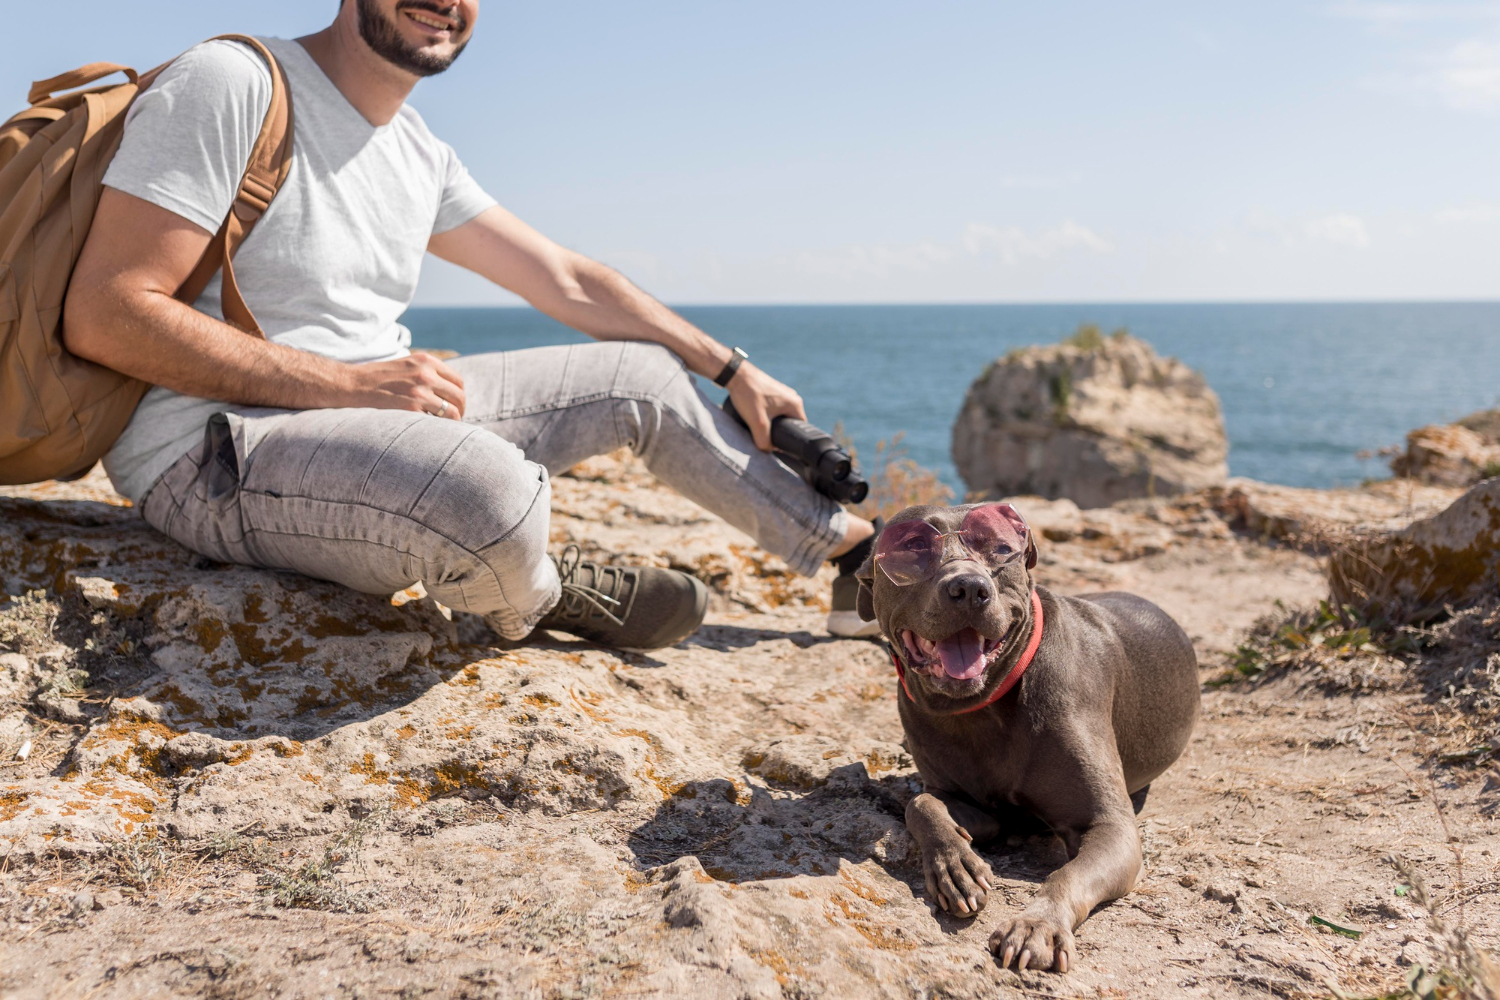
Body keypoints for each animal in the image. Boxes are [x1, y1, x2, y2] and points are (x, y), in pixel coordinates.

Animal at [858, 503, 1194, 971]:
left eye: (1001, 548)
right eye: (913, 547)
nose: (969, 587)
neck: (983, 707)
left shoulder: (1110, 826)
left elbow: (1066, 874)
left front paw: (1038, 924)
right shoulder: (979, 808)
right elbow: (921, 803)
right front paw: (956, 864)